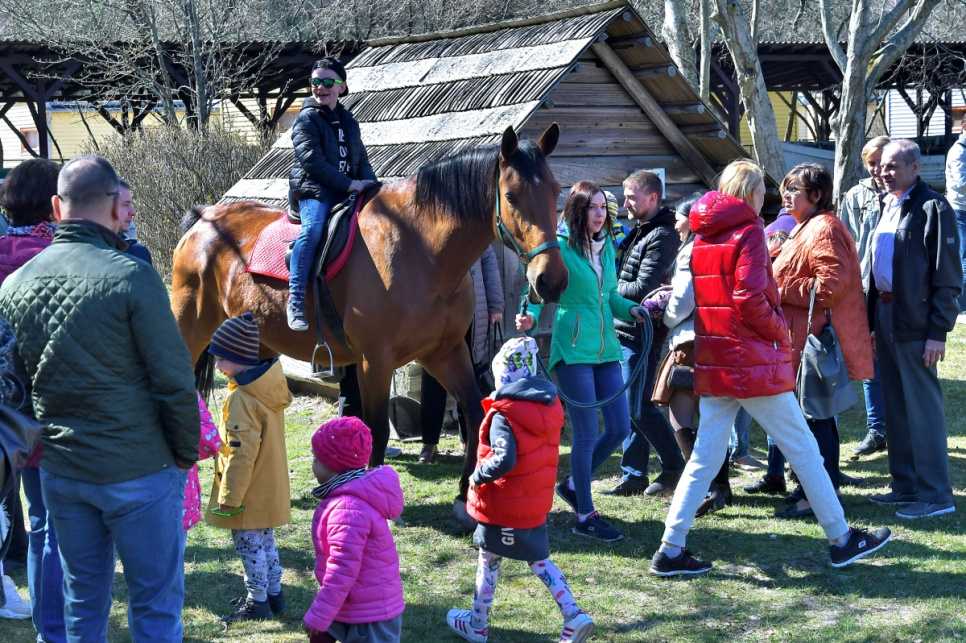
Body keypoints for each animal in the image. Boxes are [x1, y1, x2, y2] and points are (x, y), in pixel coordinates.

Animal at [171, 124, 567, 526]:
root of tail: (205, 217)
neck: (420, 248)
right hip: (190, 329)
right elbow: (375, 426)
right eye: (511, 196)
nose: (551, 281)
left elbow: (473, 410)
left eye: (555, 191)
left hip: (259, 343)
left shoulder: (445, 352)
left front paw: (463, 496)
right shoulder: (374, 362)